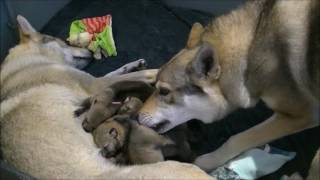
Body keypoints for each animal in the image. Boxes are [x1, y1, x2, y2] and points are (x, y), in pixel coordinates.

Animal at [0, 15, 210, 179]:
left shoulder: (99, 81)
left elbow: (119, 71)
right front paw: (158, 70)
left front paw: (133, 64)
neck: (30, 61)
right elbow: (138, 74)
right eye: (65, 42)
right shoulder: (97, 83)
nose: (90, 52)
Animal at [139, 0, 318, 172]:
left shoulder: (302, 115)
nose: (136, 117)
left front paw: (206, 162)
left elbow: (237, 139)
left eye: (164, 91)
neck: (253, 50)